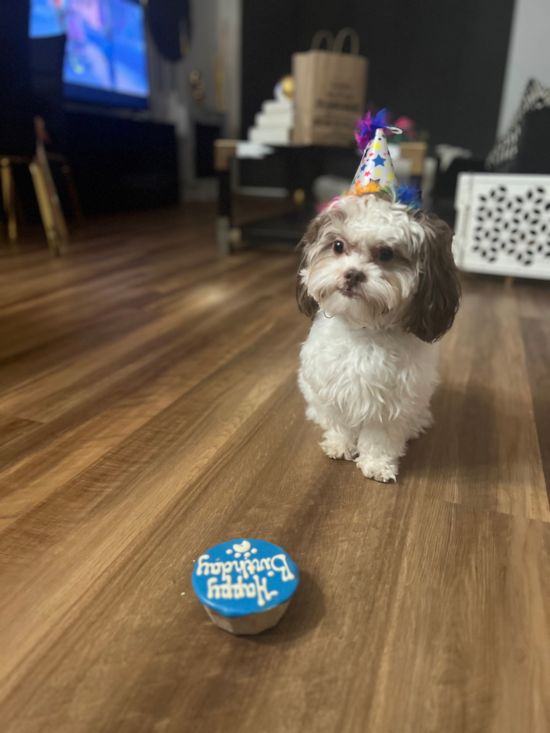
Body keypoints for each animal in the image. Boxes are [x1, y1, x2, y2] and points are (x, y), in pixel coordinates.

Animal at [298, 192, 462, 484]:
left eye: (386, 253)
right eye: (338, 246)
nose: (353, 273)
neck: (364, 330)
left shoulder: (395, 402)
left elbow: (381, 437)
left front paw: (377, 464)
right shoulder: (333, 385)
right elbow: (340, 421)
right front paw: (339, 445)